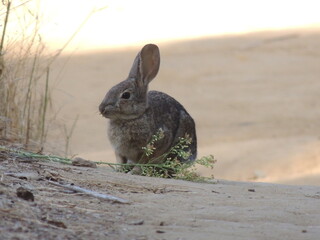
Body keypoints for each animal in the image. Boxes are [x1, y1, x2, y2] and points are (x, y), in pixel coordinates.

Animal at [99, 43, 196, 171]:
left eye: (126, 95)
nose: (101, 109)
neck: (132, 118)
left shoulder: (153, 146)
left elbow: (142, 162)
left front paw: (134, 172)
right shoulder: (119, 151)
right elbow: (121, 160)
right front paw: (120, 169)